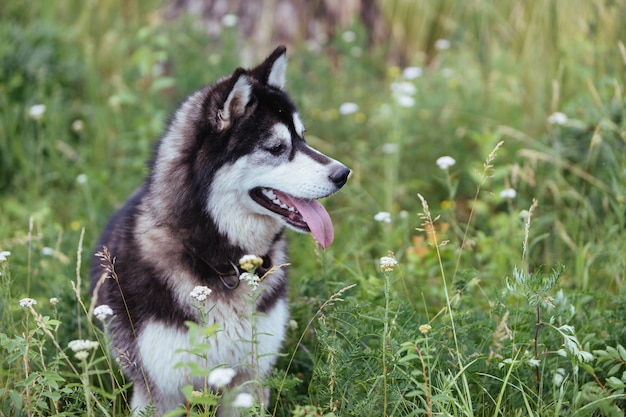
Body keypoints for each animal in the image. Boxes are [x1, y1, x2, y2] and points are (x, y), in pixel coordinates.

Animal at [90, 45, 348, 412]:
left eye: (302, 137)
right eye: (276, 148)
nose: (343, 174)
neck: (218, 261)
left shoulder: (248, 380)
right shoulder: (159, 390)